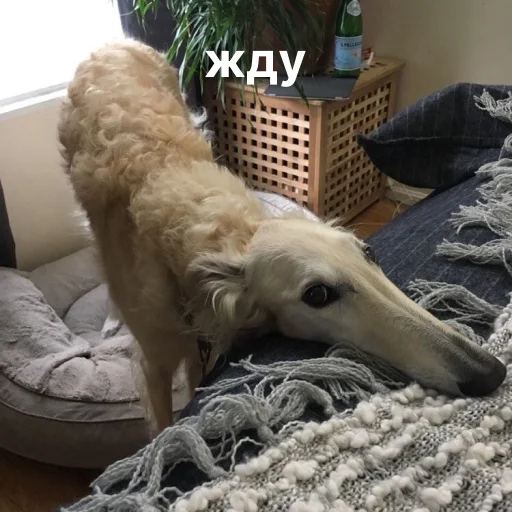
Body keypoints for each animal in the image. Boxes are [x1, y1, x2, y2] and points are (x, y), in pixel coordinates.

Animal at [59, 40, 506, 434]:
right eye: (317, 294)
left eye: (370, 253)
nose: (491, 372)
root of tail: (113, 46)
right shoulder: (153, 361)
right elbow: (161, 423)